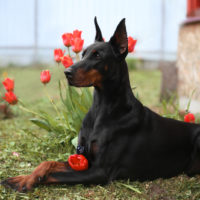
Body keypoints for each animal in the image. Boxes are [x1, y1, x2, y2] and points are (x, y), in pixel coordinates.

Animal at [1, 18, 200, 193]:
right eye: (83, 54)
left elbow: (54, 174)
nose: (67, 72)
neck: (102, 108)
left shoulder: (100, 171)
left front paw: (27, 182)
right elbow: (48, 163)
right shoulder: (82, 159)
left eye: (98, 56)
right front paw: (23, 178)